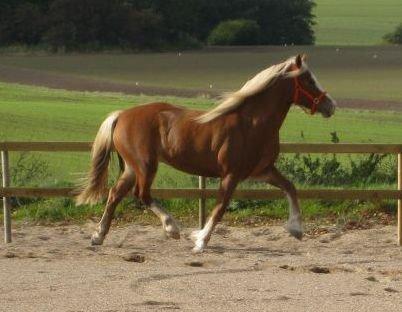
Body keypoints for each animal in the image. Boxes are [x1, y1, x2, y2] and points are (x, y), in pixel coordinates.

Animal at [75, 54, 336, 252]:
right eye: (309, 80)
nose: (331, 106)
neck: (252, 123)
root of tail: (121, 115)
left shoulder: (262, 170)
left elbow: (290, 187)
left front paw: (296, 229)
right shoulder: (231, 175)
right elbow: (220, 208)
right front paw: (199, 241)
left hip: (132, 167)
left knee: (115, 194)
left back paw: (98, 236)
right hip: (145, 165)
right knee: (141, 194)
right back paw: (172, 228)